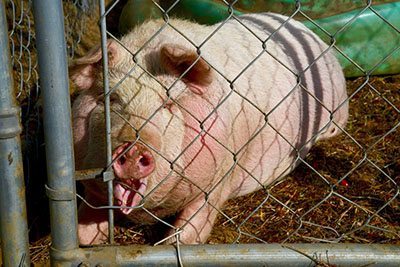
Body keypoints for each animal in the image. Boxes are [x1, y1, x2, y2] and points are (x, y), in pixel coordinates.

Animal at [70, 13, 348, 246]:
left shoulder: (224, 170)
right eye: (112, 99)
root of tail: (303, 27)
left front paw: (173, 242)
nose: (132, 147)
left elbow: (189, 229)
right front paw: (87, 238)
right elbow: (84, 230)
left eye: (168, 104)